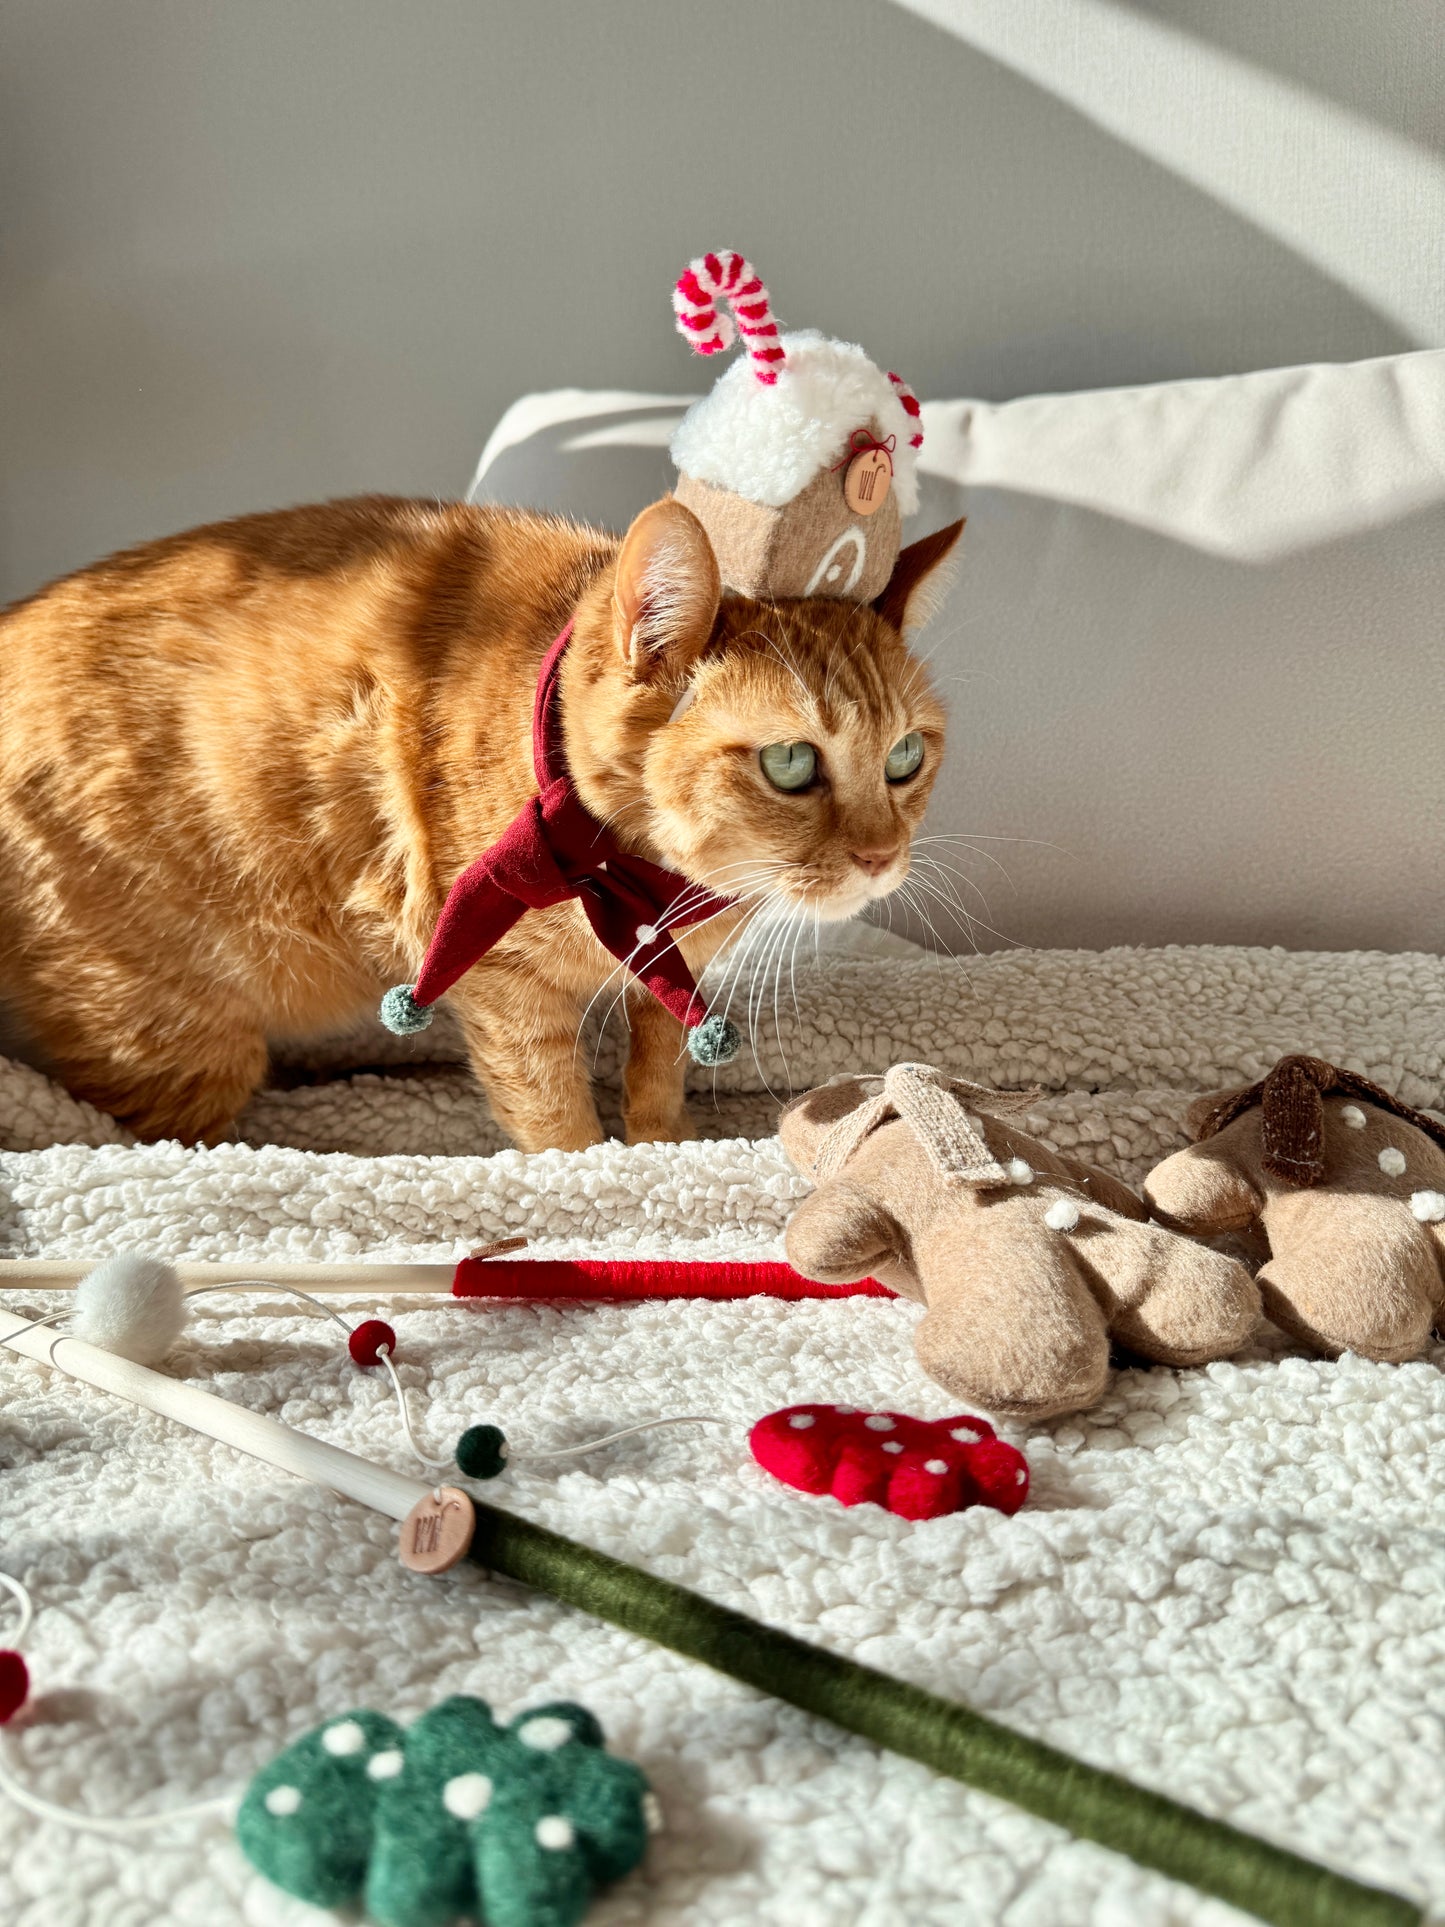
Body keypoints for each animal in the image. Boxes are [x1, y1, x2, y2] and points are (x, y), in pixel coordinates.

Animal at [0, 501, 967, 1156]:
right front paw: (606, 1183)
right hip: (175, 1044)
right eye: (792, 764)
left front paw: (664, 1140)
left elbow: (657, 1071)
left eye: (904, 756)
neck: (644, 882)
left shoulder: (668, 978)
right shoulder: (505, 987)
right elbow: (556, 1116)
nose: (882, 857)